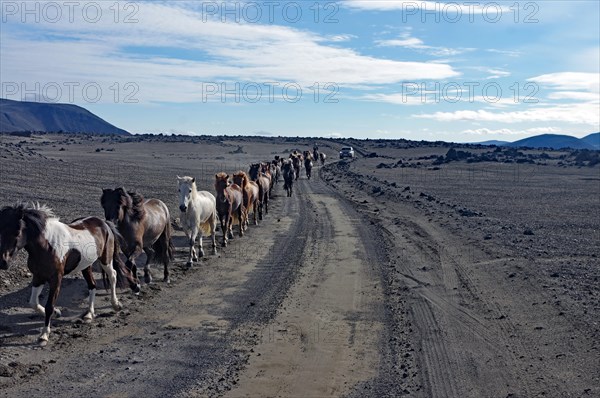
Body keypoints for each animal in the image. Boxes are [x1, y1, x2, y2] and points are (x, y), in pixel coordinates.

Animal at [0, 204, 137, 344]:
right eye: (0, 230)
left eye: (17, 232)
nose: (3, 262)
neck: (47, 245)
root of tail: (104, 223)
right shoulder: (38, 277)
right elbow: (33, 302)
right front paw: (57, 313)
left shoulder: (56, 279)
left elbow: (49, 306)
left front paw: (44, 335)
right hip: (86, 266)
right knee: (92, 285)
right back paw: (89, 314)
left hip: (106, 259)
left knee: (113, 275)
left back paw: (116, 305)